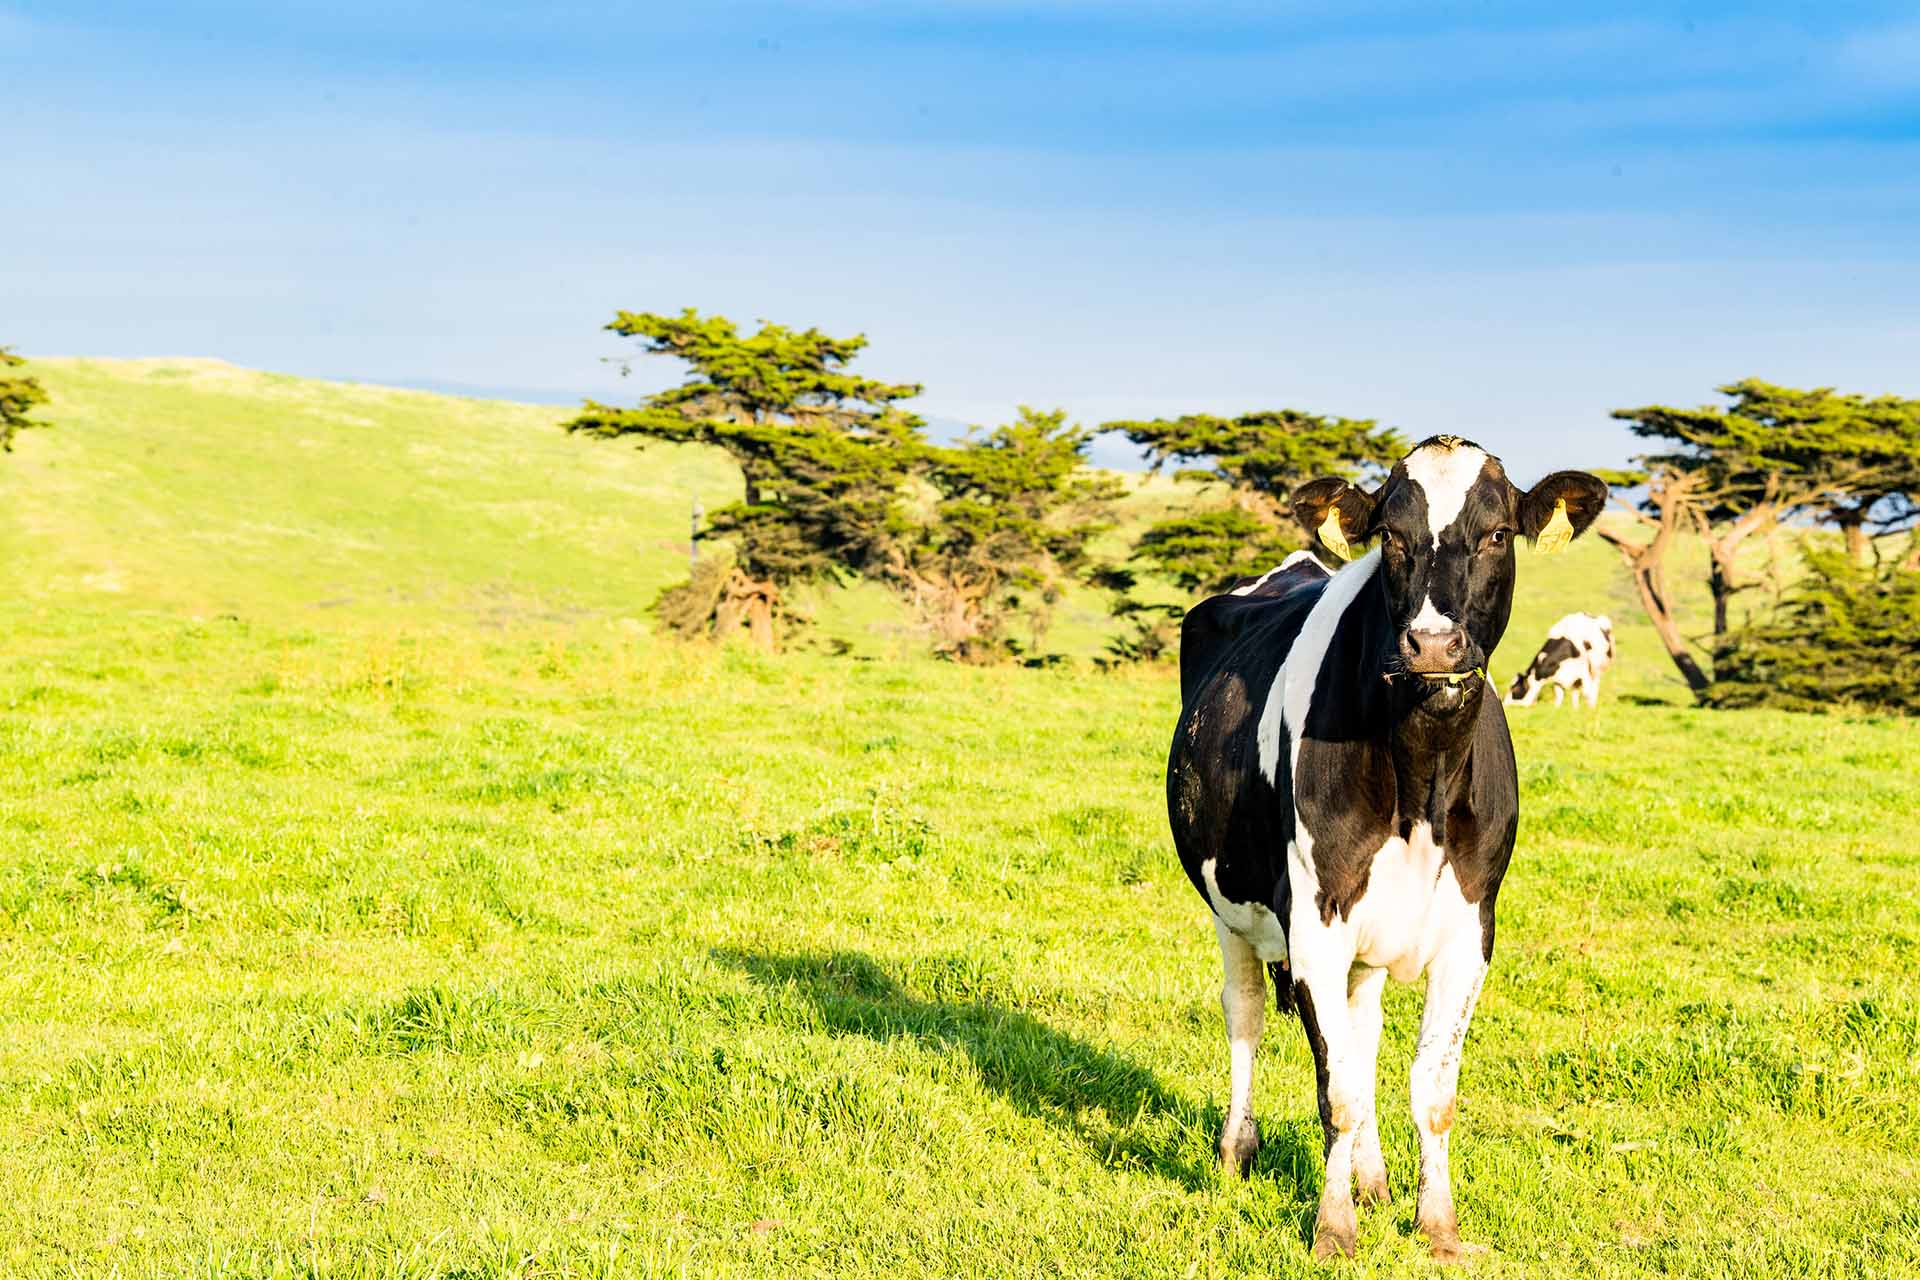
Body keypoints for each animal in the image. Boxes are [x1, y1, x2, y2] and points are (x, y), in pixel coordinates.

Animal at [1167, 435, 1605, 1258]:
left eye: (1498, 533)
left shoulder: (1471, 928)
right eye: (1391, 537)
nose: (1432, 644)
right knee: (1246, 1014)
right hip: (1230, 906)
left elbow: (1428, 1090)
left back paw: (1372, 1180)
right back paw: (1237, 1151)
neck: (1421, 777)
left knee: (1362, 1034)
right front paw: (1333, 1230)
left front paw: (1437, 1226)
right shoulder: (1314, 921)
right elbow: (1335, 1090)